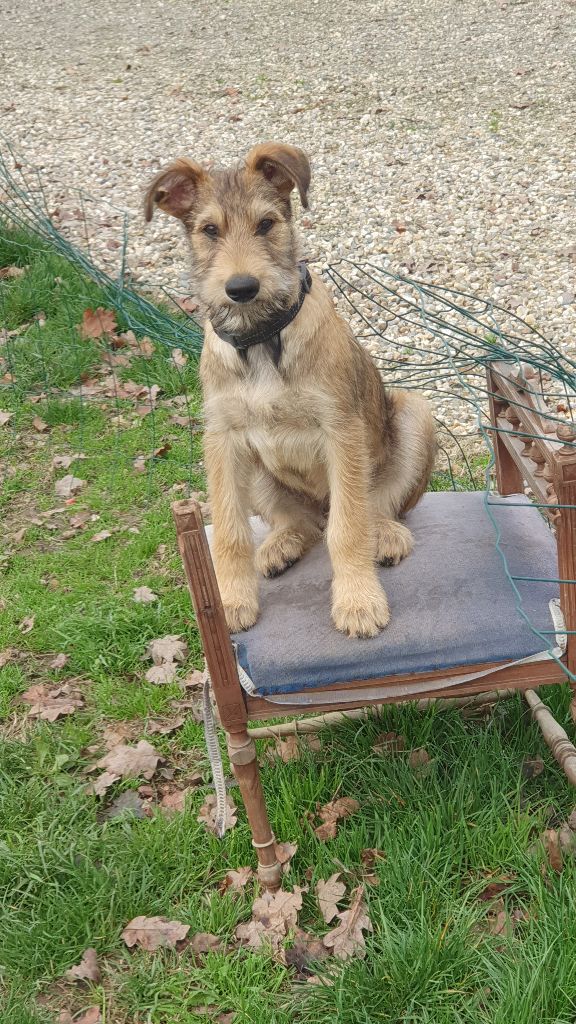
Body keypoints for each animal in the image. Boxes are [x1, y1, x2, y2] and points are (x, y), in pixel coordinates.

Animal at [144, 142, 434, 638]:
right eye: (209, 230)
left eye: (266, 224)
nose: (241, 288)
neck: (262, 338)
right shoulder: (222, 439)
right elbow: (230, 531)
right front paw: (231, 601)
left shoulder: (341, 430)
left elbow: (348, 528)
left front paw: (358, 601)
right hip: (261, 474)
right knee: (302, 523)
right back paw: (283, 543)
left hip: (415, 413)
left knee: (372, 509)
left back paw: (386, 535)